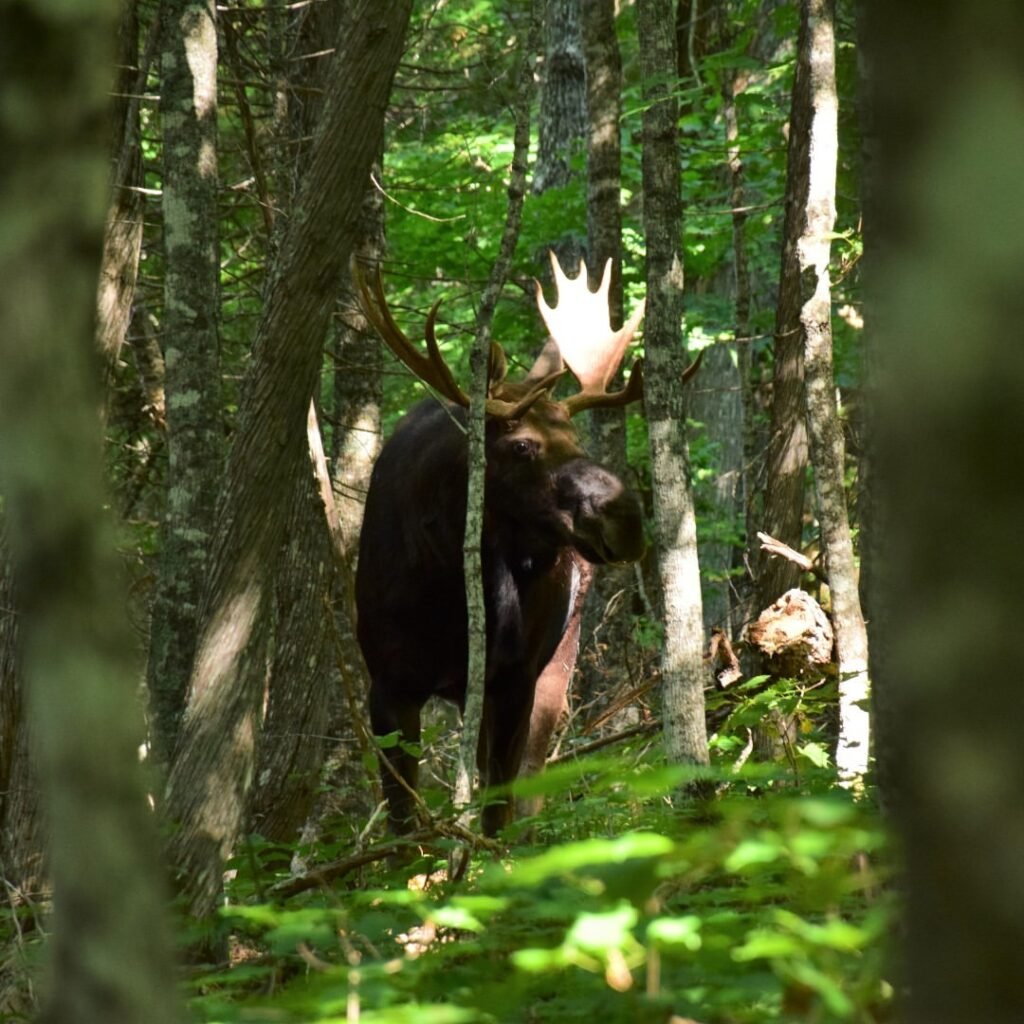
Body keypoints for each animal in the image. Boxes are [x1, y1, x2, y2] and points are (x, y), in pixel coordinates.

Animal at [354, 251, 688, 835]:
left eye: (576, 439)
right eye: (523, 446)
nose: (625, 517)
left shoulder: (513, 676)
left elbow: (499, 805)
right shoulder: (389, 684)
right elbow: (404, 823)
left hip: (554, 660)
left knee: (530, 779)